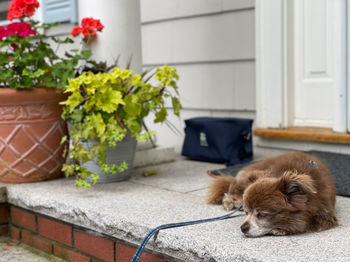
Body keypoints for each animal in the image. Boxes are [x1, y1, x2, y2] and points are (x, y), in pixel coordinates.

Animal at [206, 150, 338, 236]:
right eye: (247, 213)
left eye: (262, 214)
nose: (243, 228)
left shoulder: (325, 216)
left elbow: (306, 223)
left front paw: (282, 229)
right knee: (233, 187)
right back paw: (231, 201)